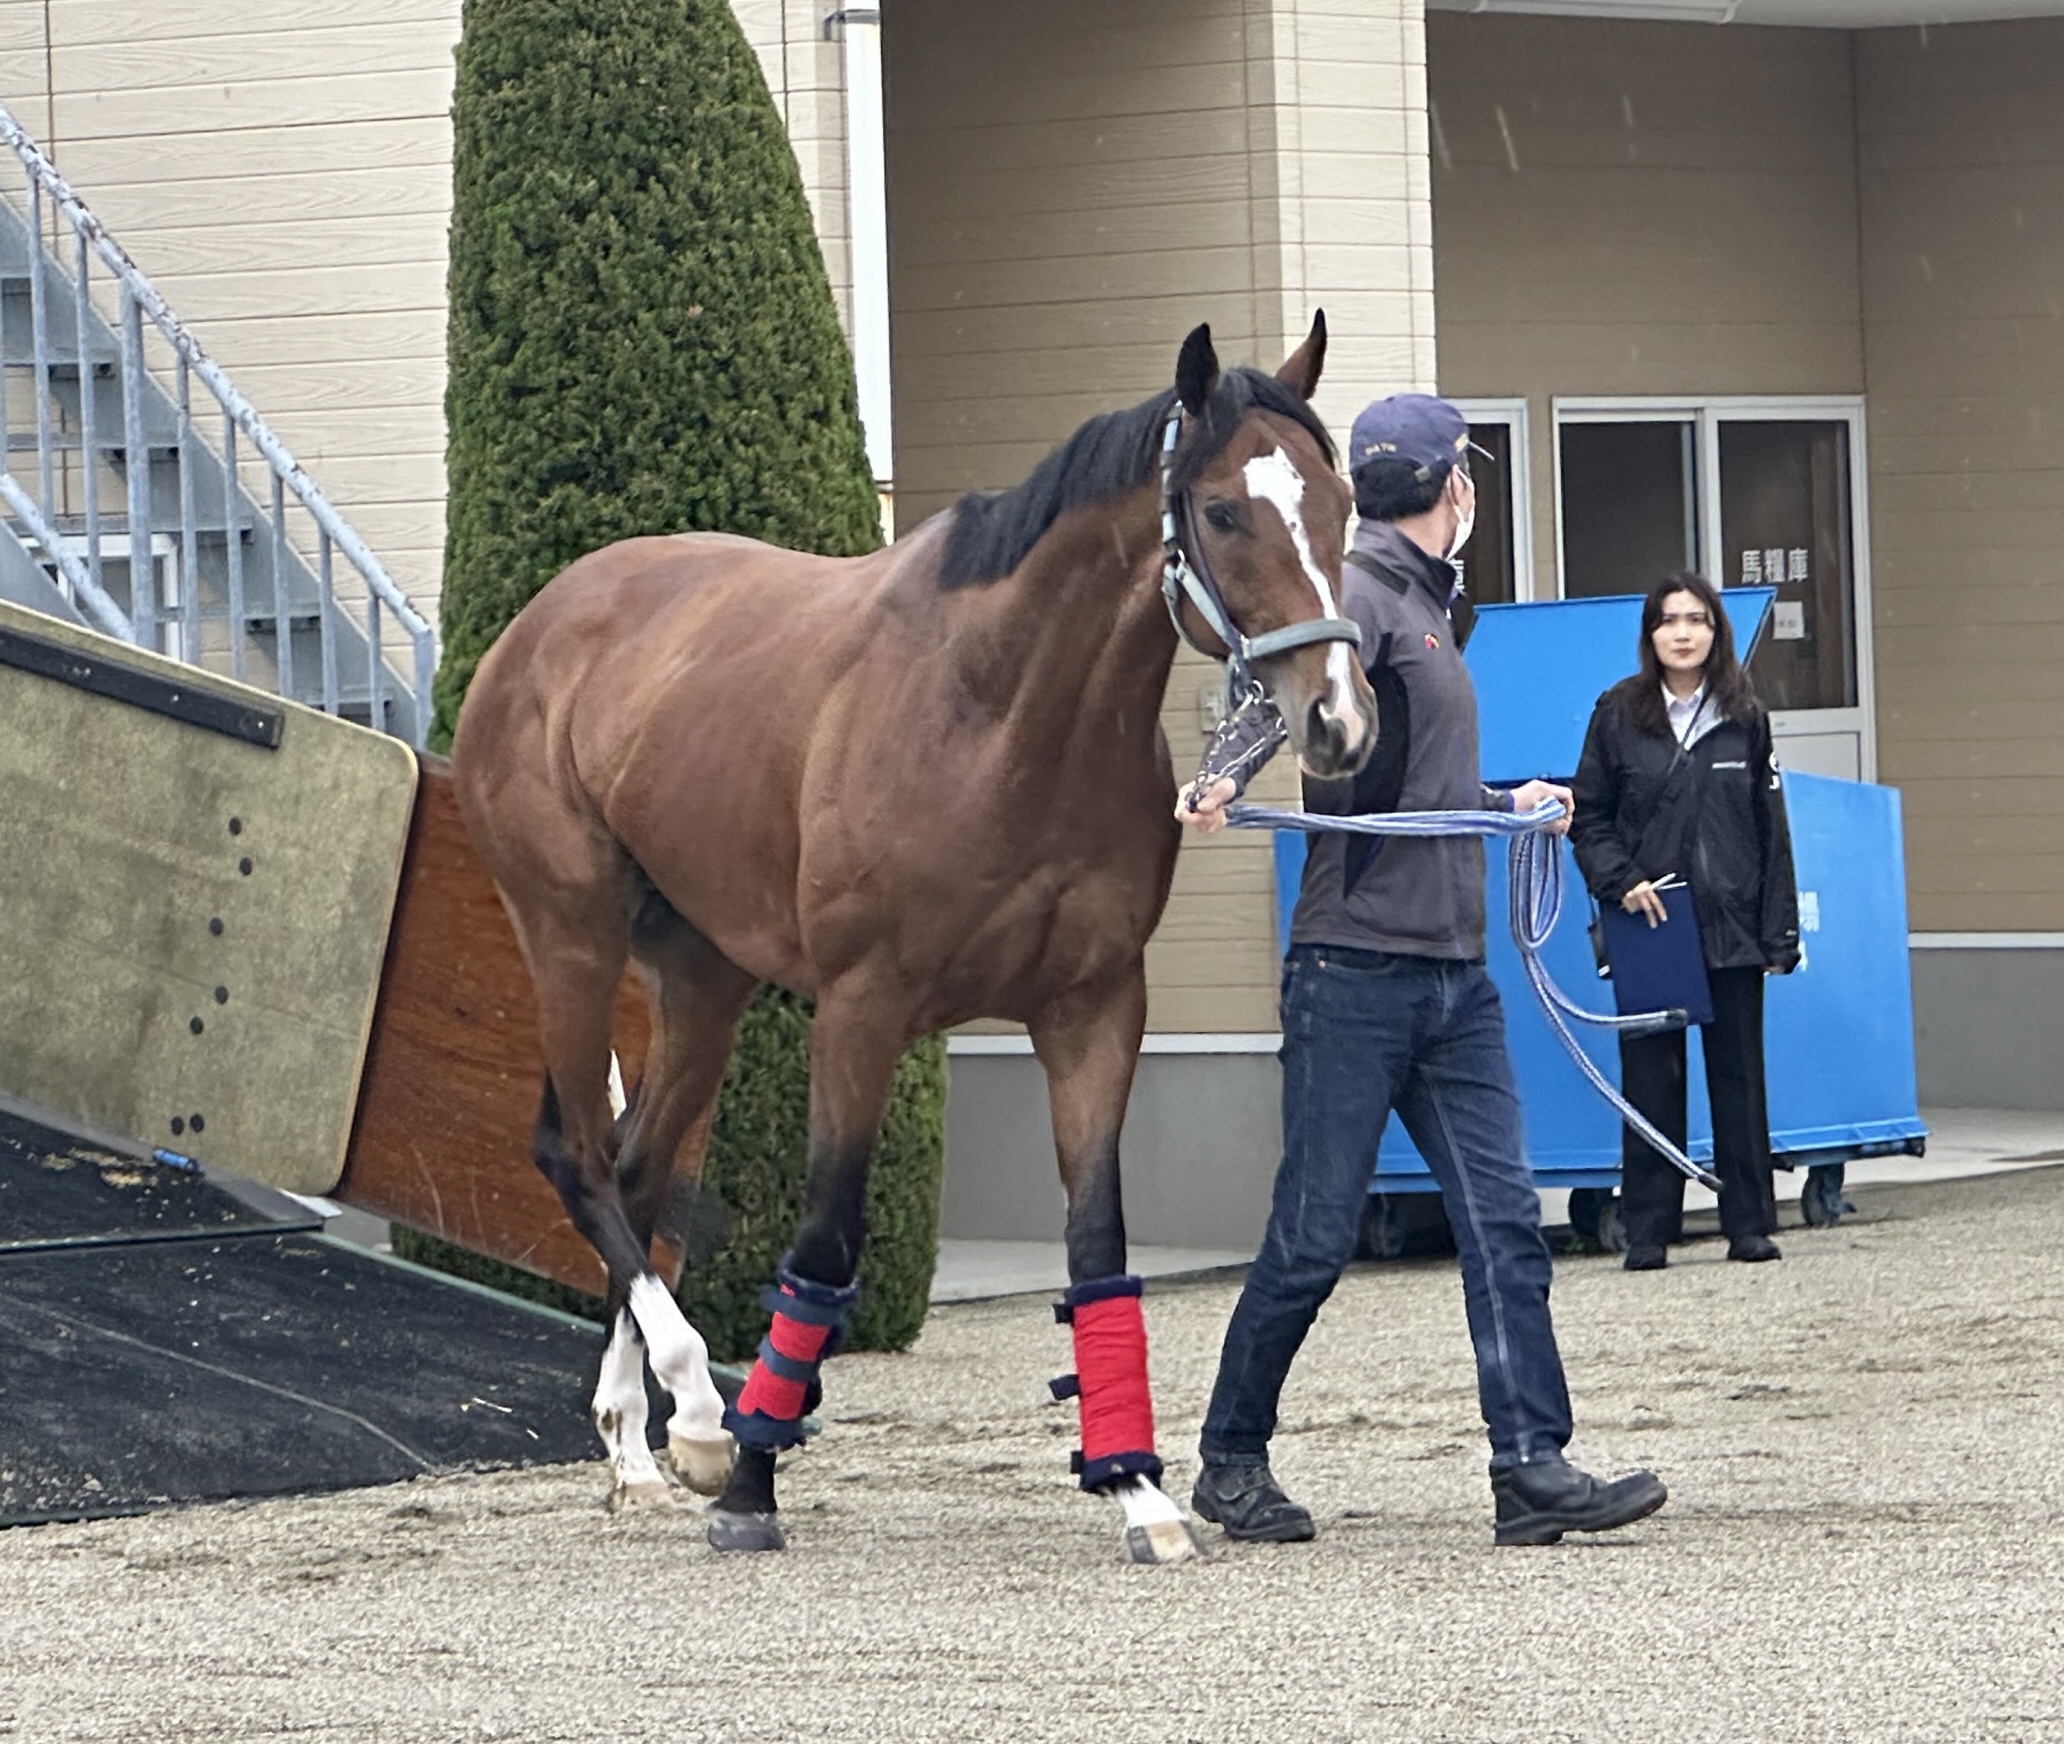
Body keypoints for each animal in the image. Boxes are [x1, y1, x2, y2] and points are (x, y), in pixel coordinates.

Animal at [450, 313, 1377, 1563]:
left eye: (1342, 502)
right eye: (1226, 511)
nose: (1338, 719)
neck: (1001, 714)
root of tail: (543, 624)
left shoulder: (1093, 1006)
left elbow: (1096, 1242)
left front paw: (1136, 1487)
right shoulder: (862, 1008)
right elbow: (824, 1244)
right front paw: (752, 1483)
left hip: (704, 976)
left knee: (637, 1171)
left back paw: (638, 1447)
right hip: (570, 932)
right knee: (579, 1157)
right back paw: (694, 1413)